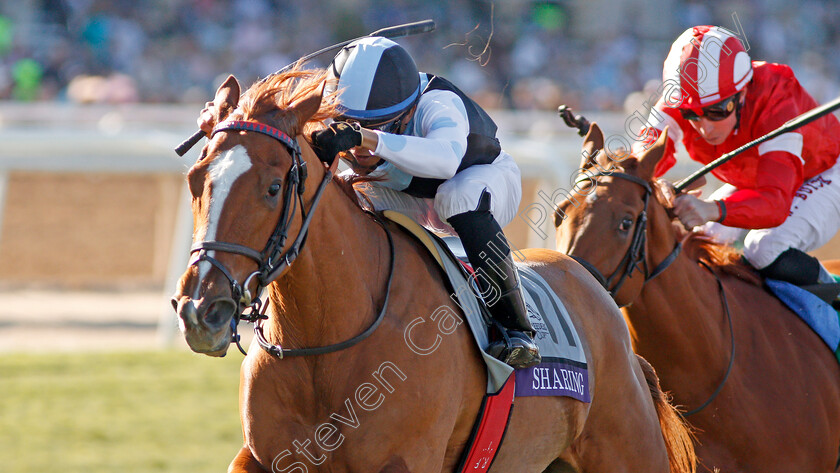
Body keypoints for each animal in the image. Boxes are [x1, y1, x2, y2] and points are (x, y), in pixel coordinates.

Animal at [172, 69, 696, 472]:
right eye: (195, 179)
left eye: (273, 187)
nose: (202, 309)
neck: (323, 346)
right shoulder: (264, 458)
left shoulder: (406, 460)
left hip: (627, 450)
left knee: (463, 201)